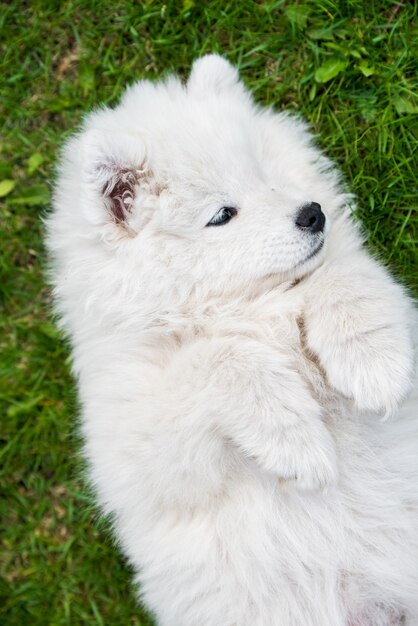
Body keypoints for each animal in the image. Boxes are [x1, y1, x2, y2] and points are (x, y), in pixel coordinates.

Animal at [45, 56, 418, 620]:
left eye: (265, 174)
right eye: (222, 214)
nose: (313, 214)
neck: (241, 307)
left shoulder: (352, 284)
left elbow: (341, 276)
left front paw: (374, 368)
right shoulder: (136, 445)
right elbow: (219, 359)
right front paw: (298, 443)